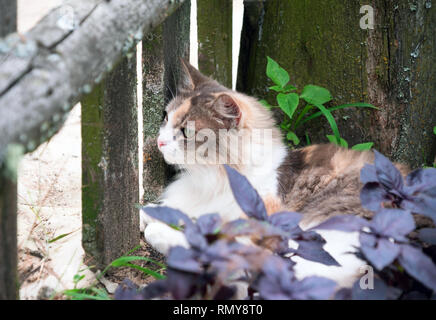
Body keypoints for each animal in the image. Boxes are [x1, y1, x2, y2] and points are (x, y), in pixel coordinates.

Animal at [141, 60, 408, 288]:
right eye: (166, 117)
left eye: (186, 131)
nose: (159, 142)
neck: (213, 176)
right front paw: (151, 212)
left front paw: (157, 226)